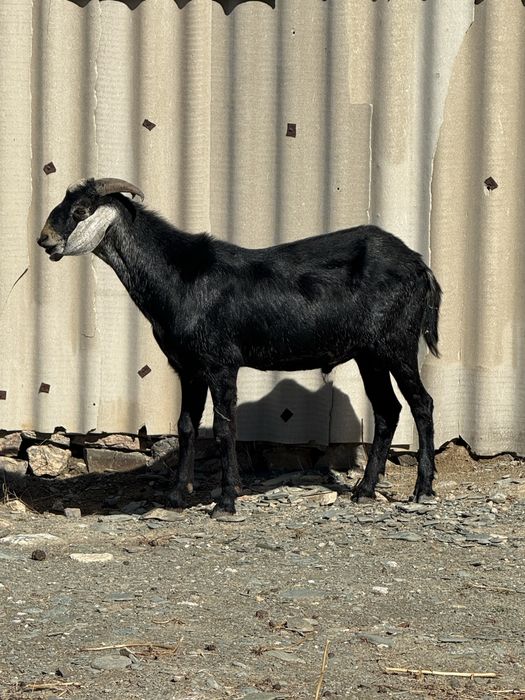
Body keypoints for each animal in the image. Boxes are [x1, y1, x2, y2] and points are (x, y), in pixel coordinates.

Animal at [38, 177, 442, 516]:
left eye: (80, 211)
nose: (45, 240)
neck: (180, 276)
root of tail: (420, 266)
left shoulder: (220, 364)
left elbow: (223, 427)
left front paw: (226, 501)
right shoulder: (188, 367)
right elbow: (186, 426)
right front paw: (175, 495)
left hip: (397, 343)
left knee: (422, 403)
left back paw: (422, 489)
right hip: (369, 354)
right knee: (388, 410)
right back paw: (365, 490)